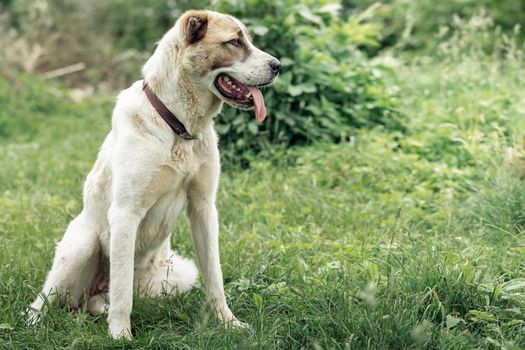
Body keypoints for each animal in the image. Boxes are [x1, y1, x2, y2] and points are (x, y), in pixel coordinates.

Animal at [29, 9, 278, 340]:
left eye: (246, 39)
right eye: (234, 42)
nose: (278, 66)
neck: (179, 127)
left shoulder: (203, 209)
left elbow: (215, 276)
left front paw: (228, 323)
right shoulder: (125, 214)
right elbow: (122, 293)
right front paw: (120, 336)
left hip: (180, 273)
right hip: (83, 244)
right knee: (46, 298)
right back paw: (34, 323)